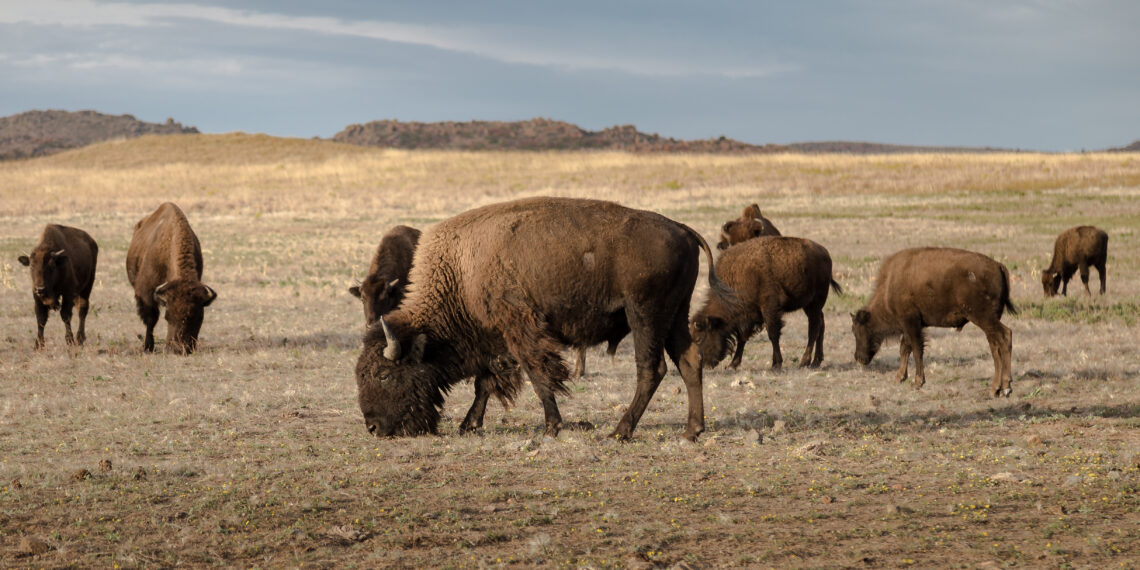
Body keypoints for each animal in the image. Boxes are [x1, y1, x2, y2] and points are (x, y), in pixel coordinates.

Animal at [126, 202, 217, 354]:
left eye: (199, 317)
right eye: (167, 316)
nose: (178, 349)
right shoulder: (146, 292)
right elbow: (151, 318)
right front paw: (148, 347)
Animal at [355, 197, 740, 441]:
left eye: (384, 374)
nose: (373, 428)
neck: (461, 271)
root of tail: (682, 228)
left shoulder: (520, 331)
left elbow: (539, 377)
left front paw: (552, 427)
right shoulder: (496, 340)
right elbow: (486, 383)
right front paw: (469, 425)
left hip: (645, 313)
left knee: (652, 369)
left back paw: (620, 432)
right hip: (675, 315)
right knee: (689, 361)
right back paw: (691, 431)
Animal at [691, 236, 841, 370]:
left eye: (699, 338)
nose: (705, 365)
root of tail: (824, 252)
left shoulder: (769, 308)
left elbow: (773, 334)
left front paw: (776, 364)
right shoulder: (748, 316)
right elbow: (742, 338)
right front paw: (732, 365)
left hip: (815, 302)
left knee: (813, 328)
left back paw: (804, 362)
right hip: (809, 305)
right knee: (821, 324)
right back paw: (816, 362)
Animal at [851, 247, 1016, 397]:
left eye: (858, 330)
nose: (858, 358)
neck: (890, 285)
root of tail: (998, 266)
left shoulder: (911, 323)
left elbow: (916, 350)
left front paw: (918, 382)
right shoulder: (911, 326)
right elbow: (905, 349)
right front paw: (899, 377)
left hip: (984, 318)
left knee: (1005, 335)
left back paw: (1005, 387)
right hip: (989, 322)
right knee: (995, 346)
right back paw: (997, 389)